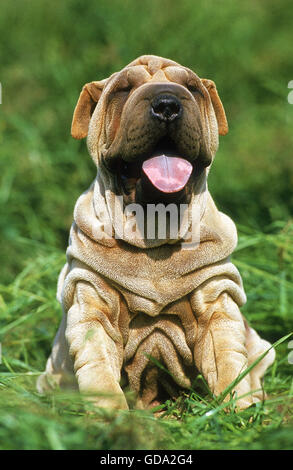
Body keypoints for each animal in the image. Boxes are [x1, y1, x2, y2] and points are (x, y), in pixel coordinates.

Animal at [37, 53, 274, 410]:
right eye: (123, 90)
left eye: (192, 88)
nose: (167, 104)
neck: (155, 228)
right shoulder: (91, 300)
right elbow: (97, 368)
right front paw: (111, 414)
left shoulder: (216, 296)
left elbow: (228, 357)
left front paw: (237, 408)